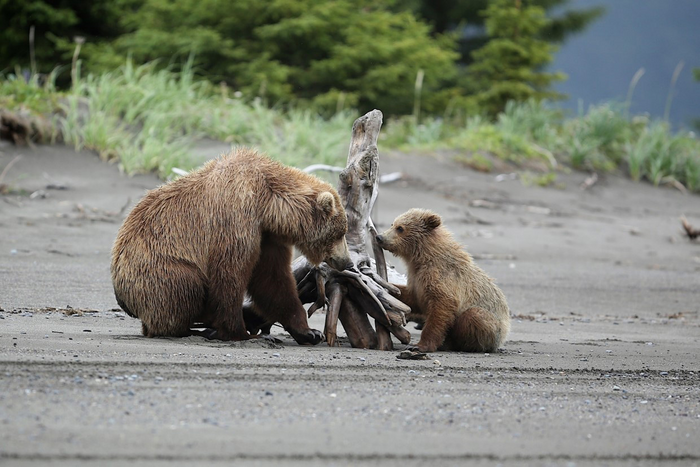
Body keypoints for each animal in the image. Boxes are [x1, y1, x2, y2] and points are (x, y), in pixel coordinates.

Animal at [111, 148, 352, 346]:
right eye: (340, 233)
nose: (347, 261)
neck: (269, 204)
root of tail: (122, 297)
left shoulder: (267, 236)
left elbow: (273, 280)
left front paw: (309, 332)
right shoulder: (236, 216)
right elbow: (230, 274)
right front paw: (239, 332)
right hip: (155, 270)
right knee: (185, 287)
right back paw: (194, 328)